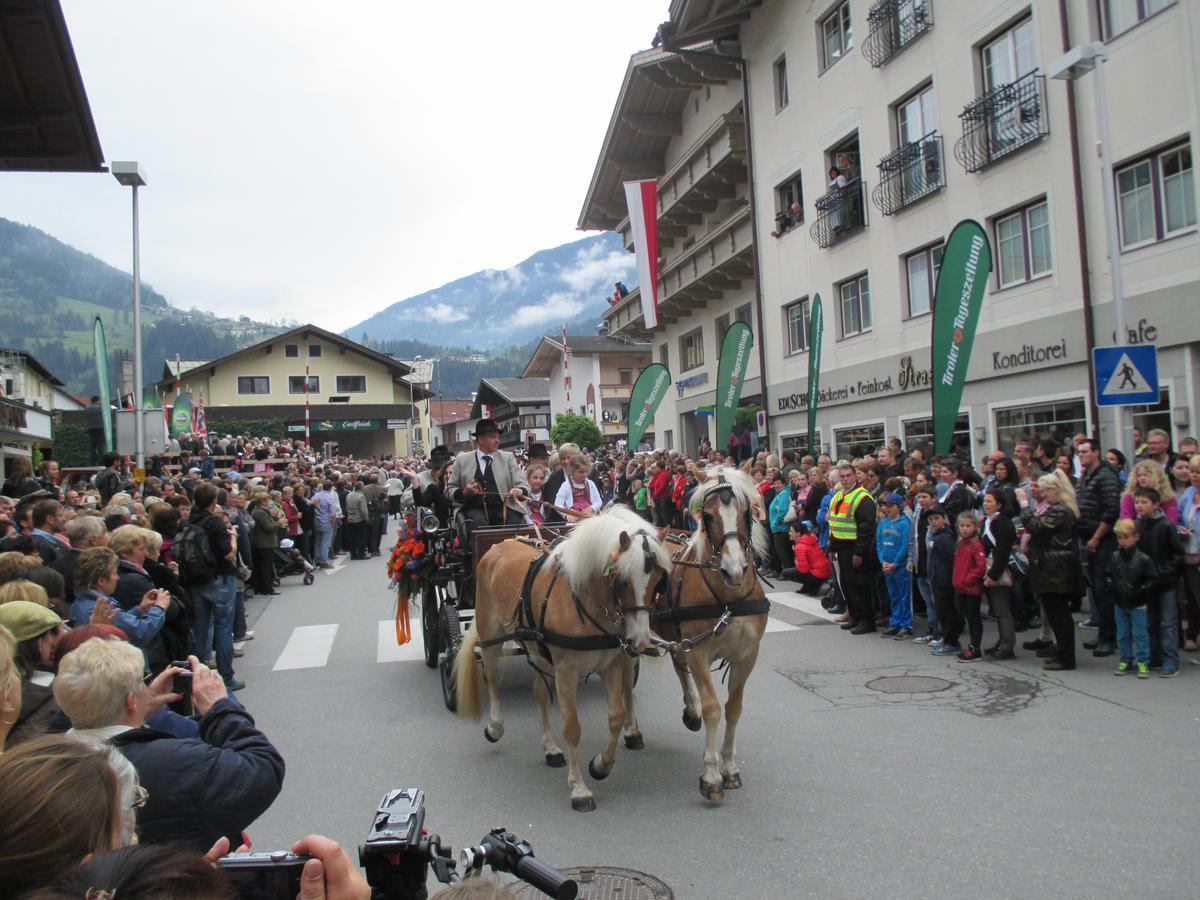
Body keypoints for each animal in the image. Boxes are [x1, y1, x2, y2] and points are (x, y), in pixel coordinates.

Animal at [453, 508, 676, 811]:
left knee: (538, 692)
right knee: (490, 675)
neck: (586, 599)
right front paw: (579, 788)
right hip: (491, 635)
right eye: (622, 580)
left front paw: (601, 765)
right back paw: (495, 726)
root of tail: (500, 545)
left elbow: (616, 717)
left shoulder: (610, 666)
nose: (640, 640)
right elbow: (572, 726)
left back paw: (551, 749)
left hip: (540, 651)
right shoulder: (567, 671)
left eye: (657, 580)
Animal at [652, 465, 772, 801]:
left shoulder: (747, 655)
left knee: (679, 663)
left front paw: (729, 767)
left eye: (746, 512)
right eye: (707, 515)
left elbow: (733, 708)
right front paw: (711, 775)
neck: (729, 599)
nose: (735, 570)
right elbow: (713, 708)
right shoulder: (699, 651)